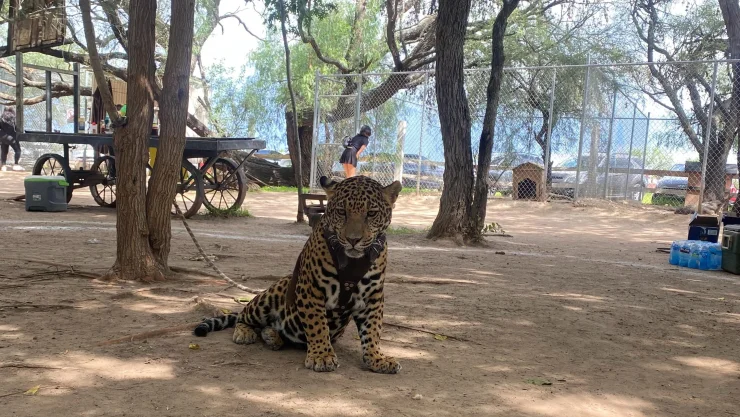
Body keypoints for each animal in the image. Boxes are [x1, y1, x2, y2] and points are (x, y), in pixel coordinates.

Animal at [194, 175, 402, 374]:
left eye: (371, 213)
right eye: (342, 212)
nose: (353, 240)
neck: (352, 262)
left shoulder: (373, 296)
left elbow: (373, 329)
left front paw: (376, 358)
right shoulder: (311, 288)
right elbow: (317, 324)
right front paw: (321, 356)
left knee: (270, 330)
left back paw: (272, 335)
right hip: (273, 293)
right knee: (243, 316)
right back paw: (245, 333)